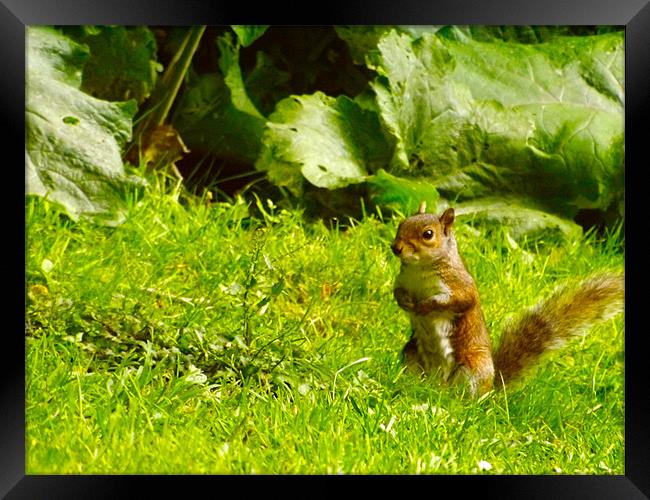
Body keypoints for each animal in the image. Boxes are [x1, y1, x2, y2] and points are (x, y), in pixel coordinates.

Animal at [390, 201, 624, 396]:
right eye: (401, 223)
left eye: (428, 234)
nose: (396, 248)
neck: (420, 269)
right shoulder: (402, 280)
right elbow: (397, 291)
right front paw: (404, 301)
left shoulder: (460, 286)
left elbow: (457, 301)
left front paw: (424, 306)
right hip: (411, 354)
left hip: (473, 368)